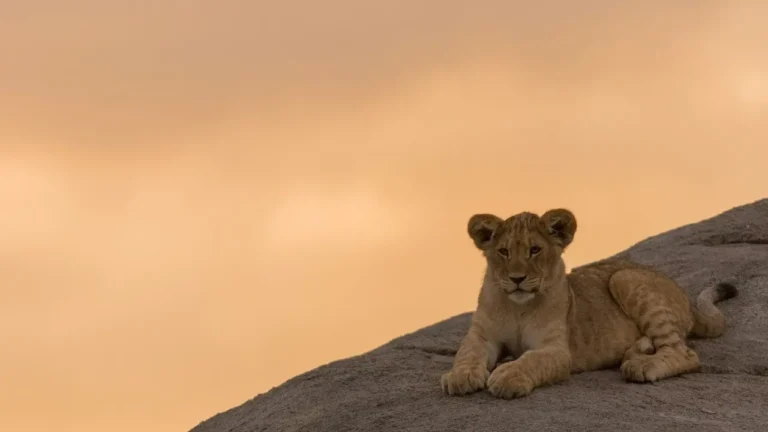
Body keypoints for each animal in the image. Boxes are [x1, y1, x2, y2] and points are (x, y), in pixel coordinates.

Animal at [440, 208, 738, 399]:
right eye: (503, 251)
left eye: (535, 250)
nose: (516, 278)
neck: (517, 307)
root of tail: (687, 299)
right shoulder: (482, 335)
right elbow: (468, 353)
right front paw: (460, 376)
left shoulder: (557, 350)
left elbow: (533, 360)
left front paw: (507, 376)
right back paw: (638, 350)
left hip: (624, 277)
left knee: (685, 353)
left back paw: (641, 365)